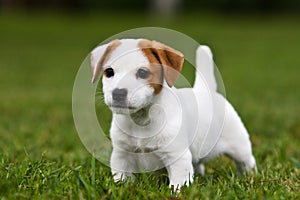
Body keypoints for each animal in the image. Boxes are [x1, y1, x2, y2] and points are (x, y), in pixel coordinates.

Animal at [89, 38, 255, 189]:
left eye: (143, 72)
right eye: (109, 72)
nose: (118, 93)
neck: (142, 119)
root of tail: (207, 90)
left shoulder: (176, 156)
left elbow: (178, 183)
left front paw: (177, 193)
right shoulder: (122, 155)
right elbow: (122, 177)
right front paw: (122, 188)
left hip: (239, 146)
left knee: (247, 161)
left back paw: (250, 177)